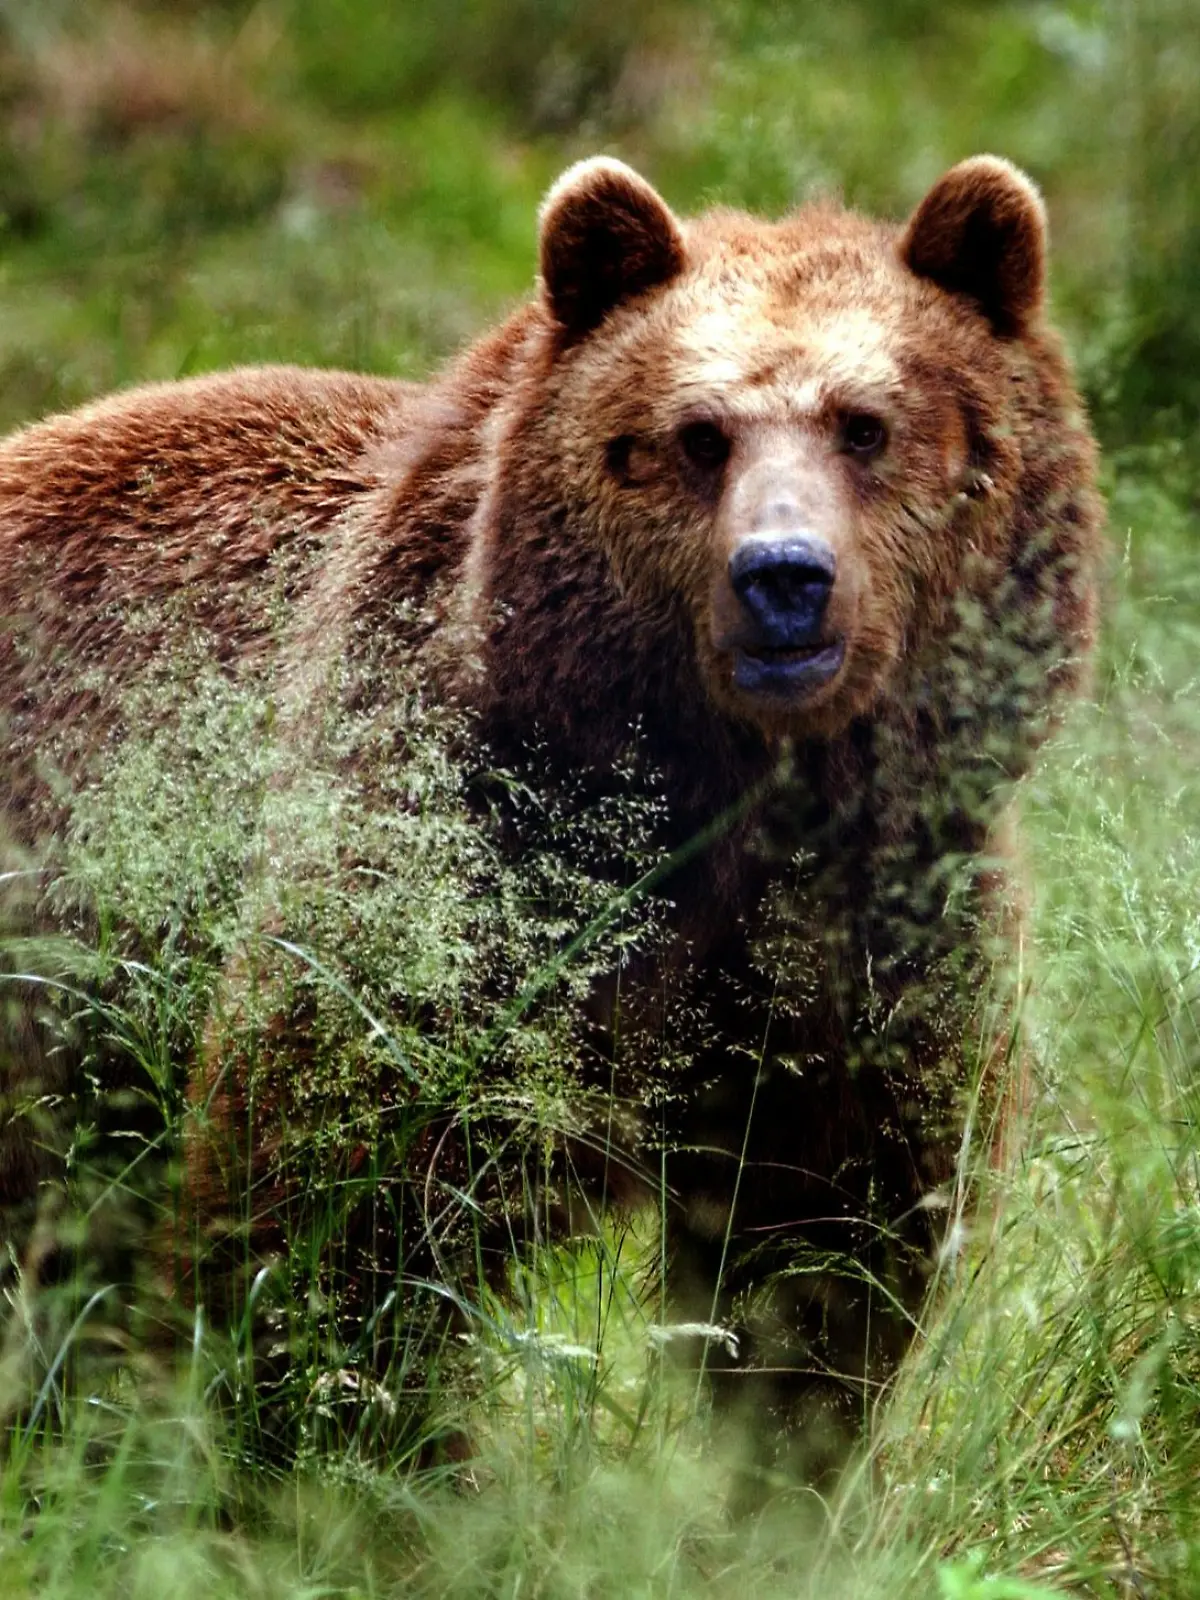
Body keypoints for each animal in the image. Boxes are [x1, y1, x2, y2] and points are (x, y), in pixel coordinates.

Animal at [0, 154, 1103, 1471]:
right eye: (696, 435)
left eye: (866, 424)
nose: (783, 579)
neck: (721, 803)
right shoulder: (463, 865)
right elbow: (340, 1214)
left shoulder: (876, 930)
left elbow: (825, 1253)